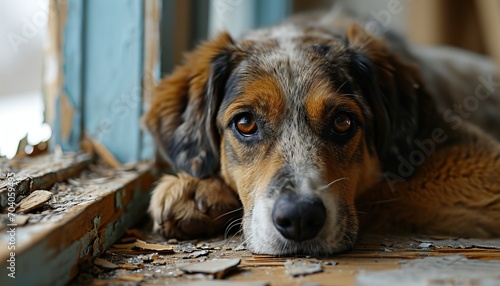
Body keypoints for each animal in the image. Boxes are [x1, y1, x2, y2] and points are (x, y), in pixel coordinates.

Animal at [144, 8, 500, 256]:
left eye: (343, 122)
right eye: (245, 123)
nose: (299, 218)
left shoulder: (481, 159)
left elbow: (382, 189)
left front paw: (198, 192)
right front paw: (195, 189)